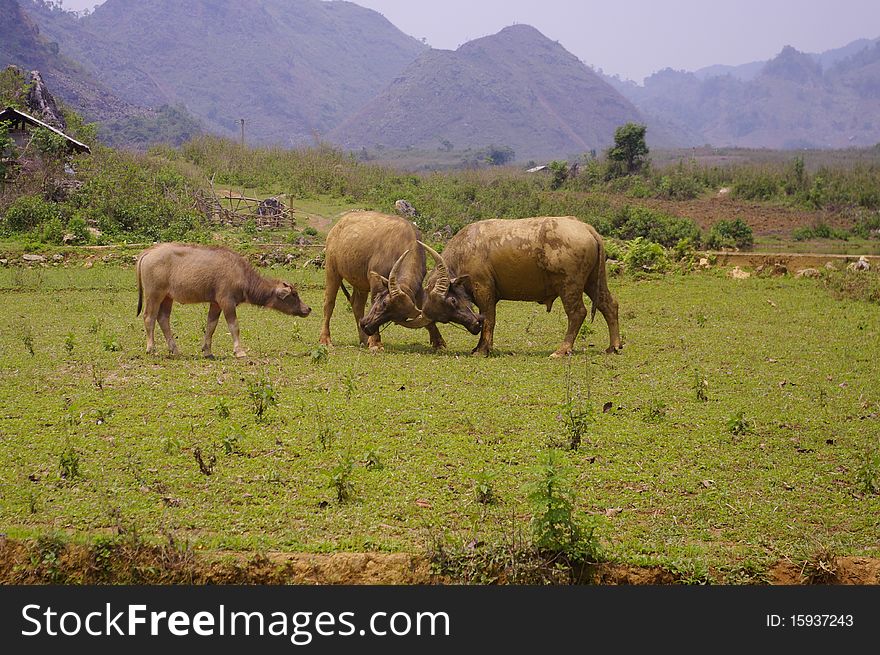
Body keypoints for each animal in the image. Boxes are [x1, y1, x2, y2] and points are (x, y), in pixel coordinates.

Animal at [132, 243, 308, 358]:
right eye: (294, 294)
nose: (308, 309)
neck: (241, 275)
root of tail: (148, 252)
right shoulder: (226, 301)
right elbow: (234, 326)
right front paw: (239, 351)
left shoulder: (215, 303)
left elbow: (211, 326)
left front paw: (207, 351)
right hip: (154, 294)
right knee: (149, 317)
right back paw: (151, 348)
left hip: (167, 297)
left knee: (163, 319)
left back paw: (174, 349)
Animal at [318, 213, 482, 352]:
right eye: (384, 304)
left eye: (396, 318)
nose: (367, 326)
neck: (401, 244)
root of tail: (338, 226)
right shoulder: (375, 282)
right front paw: (375, 343)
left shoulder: (418, 289)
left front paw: (439, 342)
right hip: (332, 271)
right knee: (329, 303)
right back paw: (326, 340)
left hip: (360, 284)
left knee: (357, 305)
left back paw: (363, 339)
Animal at [420, 218, 620, 356]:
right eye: (444, 318)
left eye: (452, 300)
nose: (474, 326)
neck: (464, 250)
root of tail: (586, 227)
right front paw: (479, 347)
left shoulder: (484, 290)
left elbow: (489, 318)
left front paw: (483, 349)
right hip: (593, 282)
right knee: (608, 305)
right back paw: (614, 346)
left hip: (570, 286)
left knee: (577, 313)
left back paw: (562, 350)